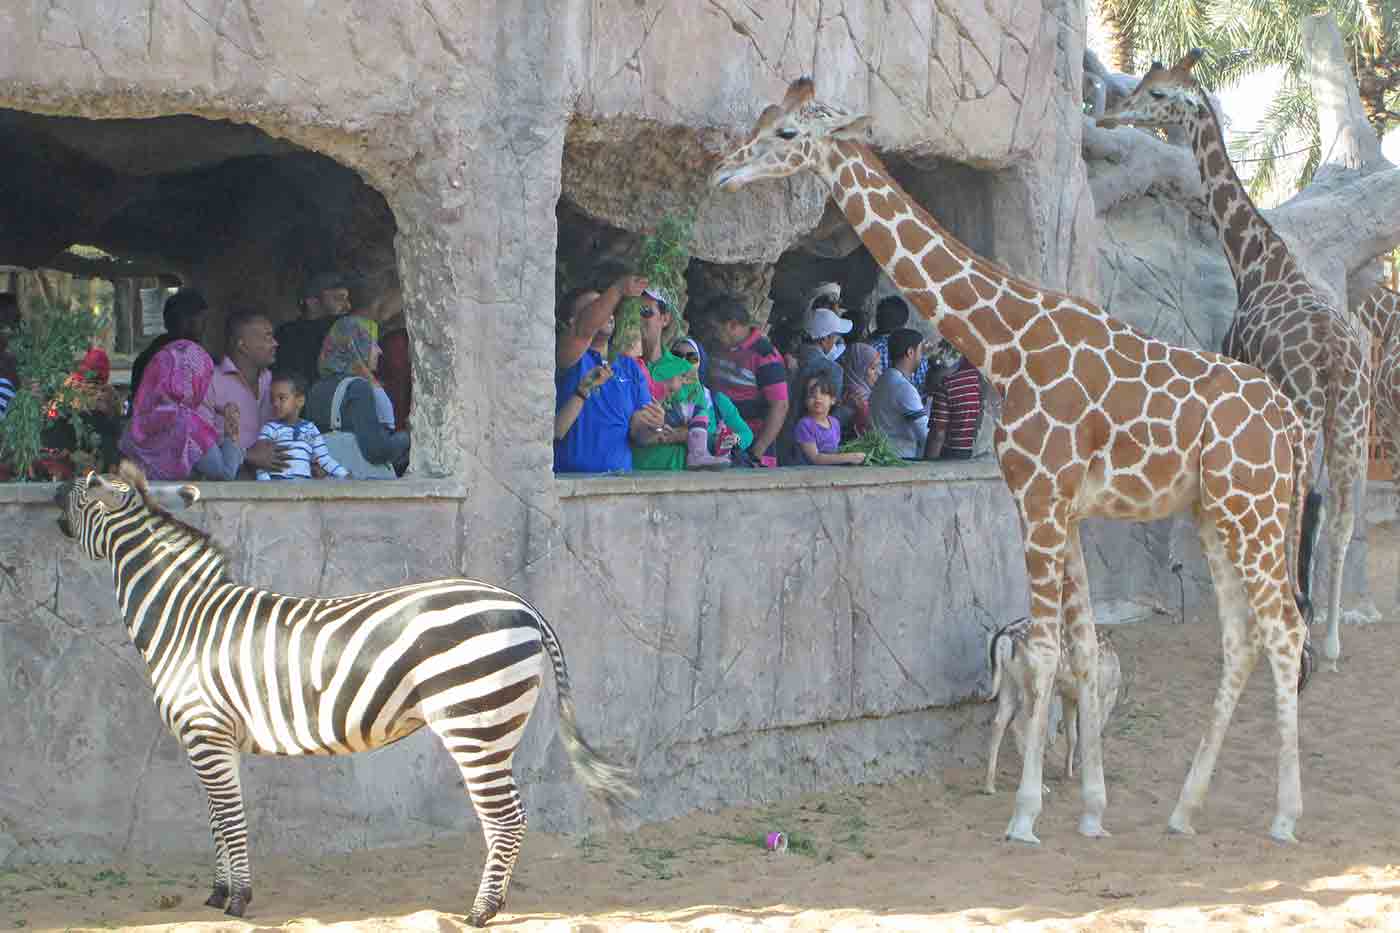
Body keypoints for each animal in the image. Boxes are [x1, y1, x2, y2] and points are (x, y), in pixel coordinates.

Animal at [54, 462, 635, 918]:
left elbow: (231, 819)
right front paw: (218, 893)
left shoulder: (205, 731)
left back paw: (480, 912)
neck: (185, 619)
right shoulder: (215, 739)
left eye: (82, 487)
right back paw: (497, 904)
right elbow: (218, 820)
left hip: (473, 723)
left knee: (507, 821)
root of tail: (523, 605)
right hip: (494, 727)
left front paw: (238, 900)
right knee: (509, 818)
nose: (52, 488)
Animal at [985, 616, 1125, 790]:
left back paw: (989, 786)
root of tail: (1005, 637)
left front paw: (1068, 773)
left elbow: (1072, 736)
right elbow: (1090, 733)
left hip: (1008, 681)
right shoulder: (1098, 695)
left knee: (999, 722)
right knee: (1018, 725)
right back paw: (1039, 786)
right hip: (1034, 684)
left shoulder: (1069, 696)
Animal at [1092, 50, 1366, 664]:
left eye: (1158, 93)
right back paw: (1331, 642)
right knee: (1339, 516)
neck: (1256, 262)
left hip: (1308, 412)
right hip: (1352, 422)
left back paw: (1297, 629)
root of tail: (1336, 358)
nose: (1109, 115)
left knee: (1298, 503)